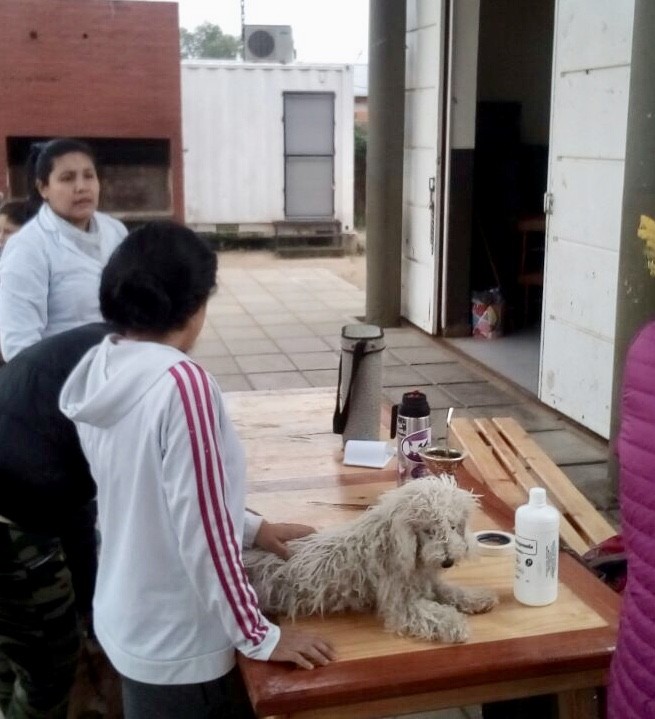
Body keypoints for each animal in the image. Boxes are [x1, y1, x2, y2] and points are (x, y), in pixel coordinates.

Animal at [243, 475, 498, 643]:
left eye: (453, 526)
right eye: (428, 530)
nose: (447, 561)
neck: (394, 543)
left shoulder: (426, 583)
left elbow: (451, 591)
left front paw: (478, 598)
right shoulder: (400, 604)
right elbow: (433, 613)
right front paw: (455, 625)